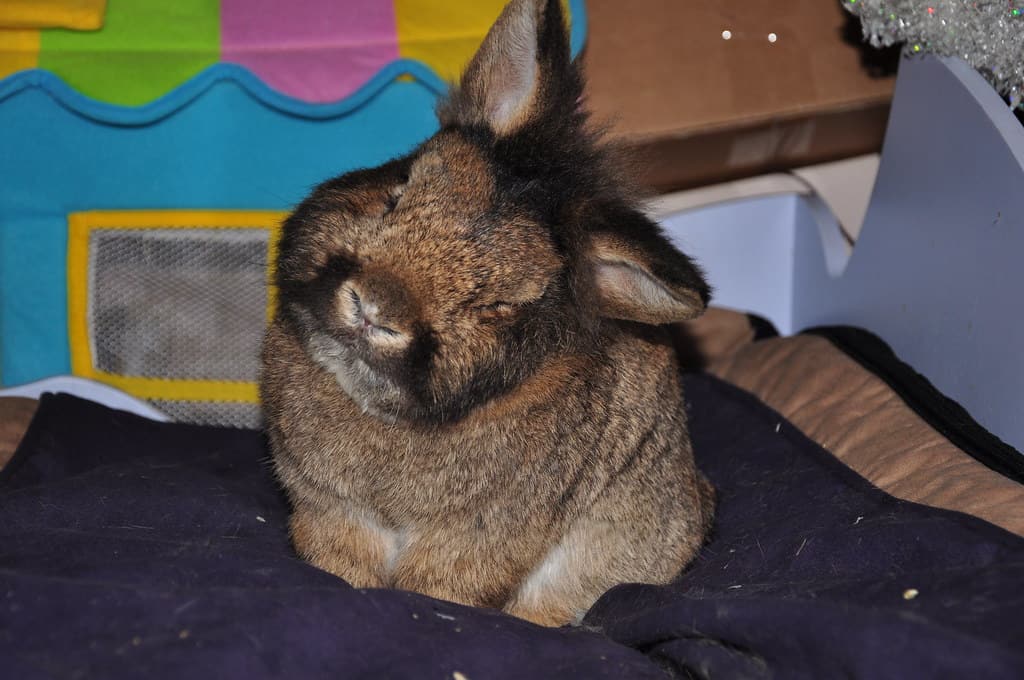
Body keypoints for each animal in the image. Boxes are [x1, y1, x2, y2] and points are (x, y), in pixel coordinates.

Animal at [260, 0, 715, 627]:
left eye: (498, 304)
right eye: (398, 188)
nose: (374, 305)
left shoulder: (478, 543)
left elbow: (438, 590)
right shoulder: (330, 513)